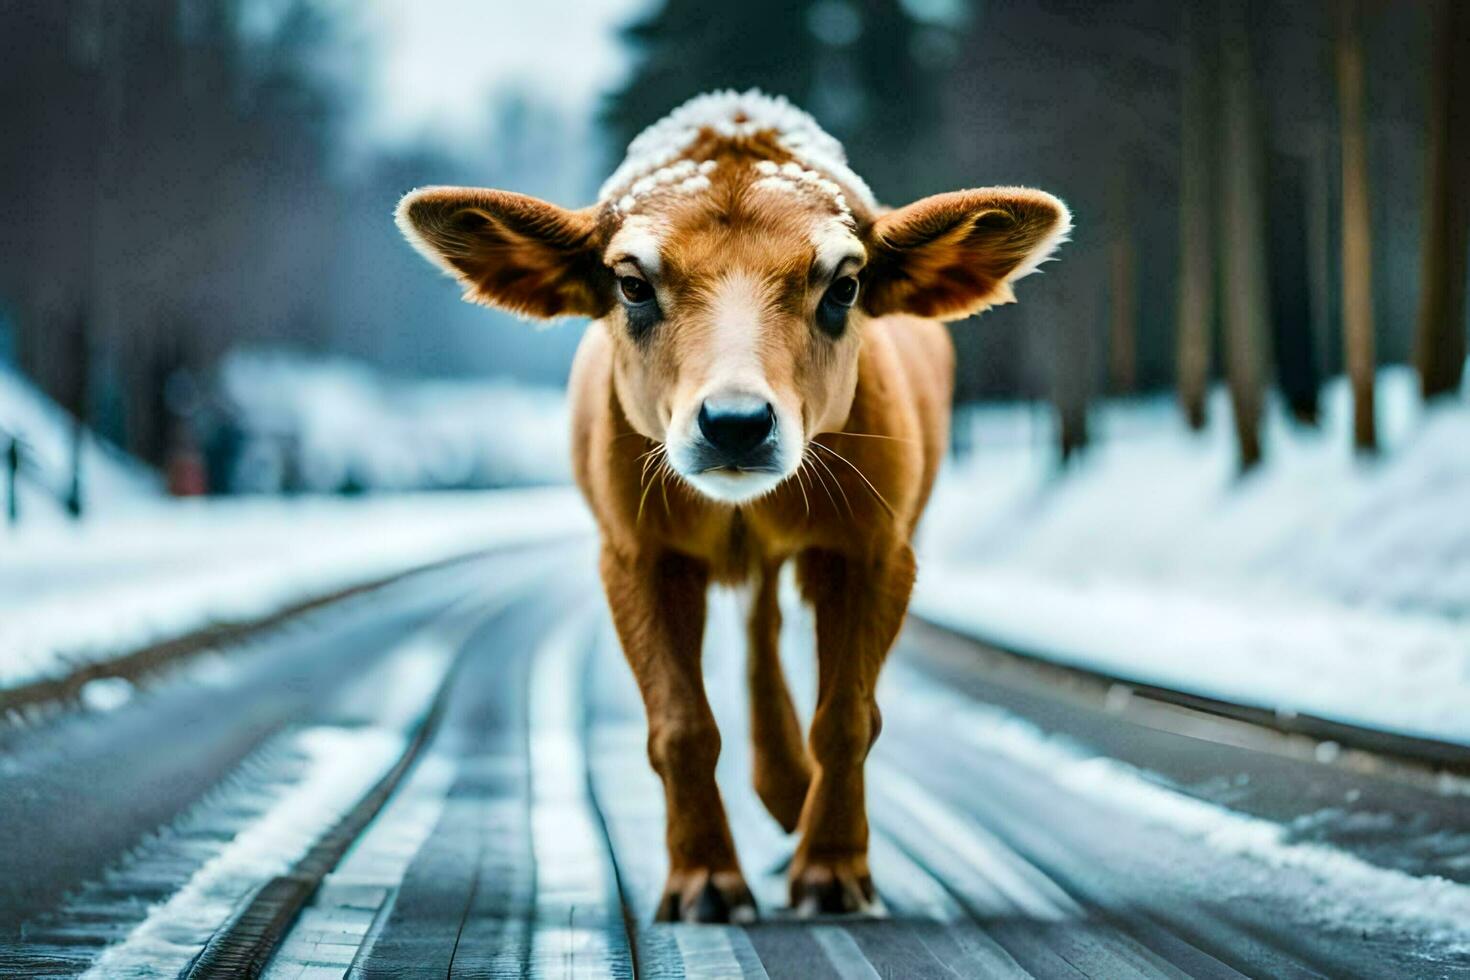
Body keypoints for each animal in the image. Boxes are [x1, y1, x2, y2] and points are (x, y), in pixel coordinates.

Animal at [399, 88, 1070, 922]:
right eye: (631, 283)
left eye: (844, 285)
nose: (737, 423)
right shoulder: (636, 552)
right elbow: (681, 726)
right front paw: (705, 881)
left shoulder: (874, 547)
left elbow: (847, 718)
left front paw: (832, 870)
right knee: (758, 627)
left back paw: (789, 793)